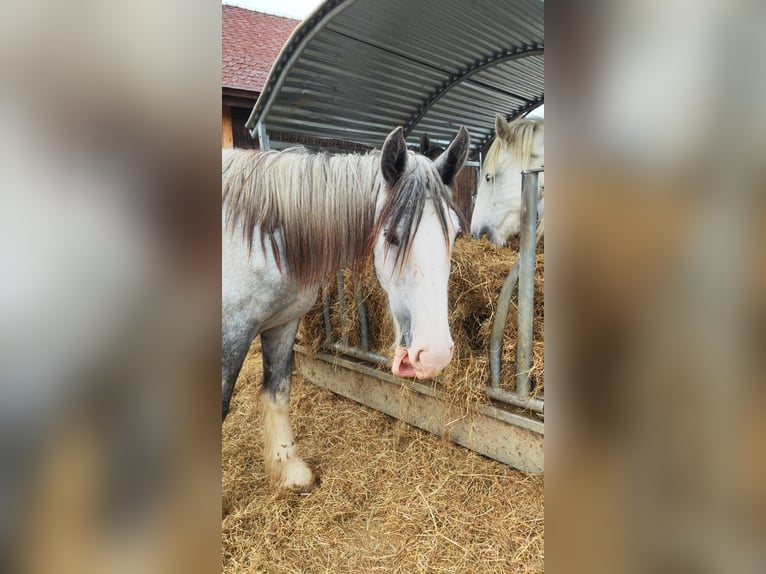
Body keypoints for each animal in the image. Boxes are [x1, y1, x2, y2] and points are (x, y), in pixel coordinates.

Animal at [222, 126, 470, 491]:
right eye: (392, 236)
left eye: (456, 233)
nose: (435, 354)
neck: (262, 237)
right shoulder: (231, 333)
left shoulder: (282, 323)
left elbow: (277, 390)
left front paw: (289, 470)